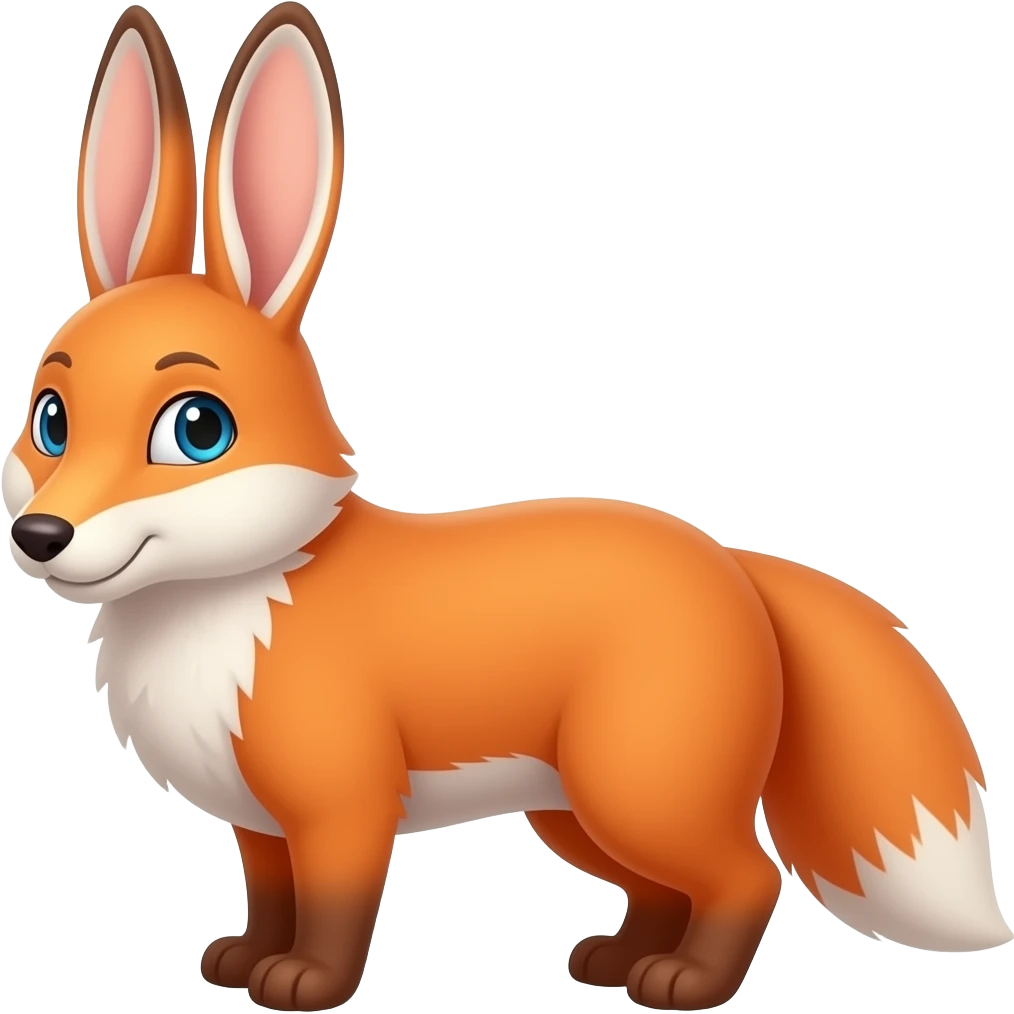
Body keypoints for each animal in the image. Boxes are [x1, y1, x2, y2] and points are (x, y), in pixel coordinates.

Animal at [1, 3, 1010, 1011]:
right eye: (50, 421)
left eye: (198, 430)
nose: (40, 535)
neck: (223, 615)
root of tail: (732, 560)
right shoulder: (258, 821)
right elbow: (271, 896)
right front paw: (246, 961)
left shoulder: (343, 804)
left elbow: (332, 909)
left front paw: (307, 983)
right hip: (575, 810)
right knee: (668, 889)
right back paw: (617, 960)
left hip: (635, 786)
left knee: (747, 875)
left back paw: (687, 983)